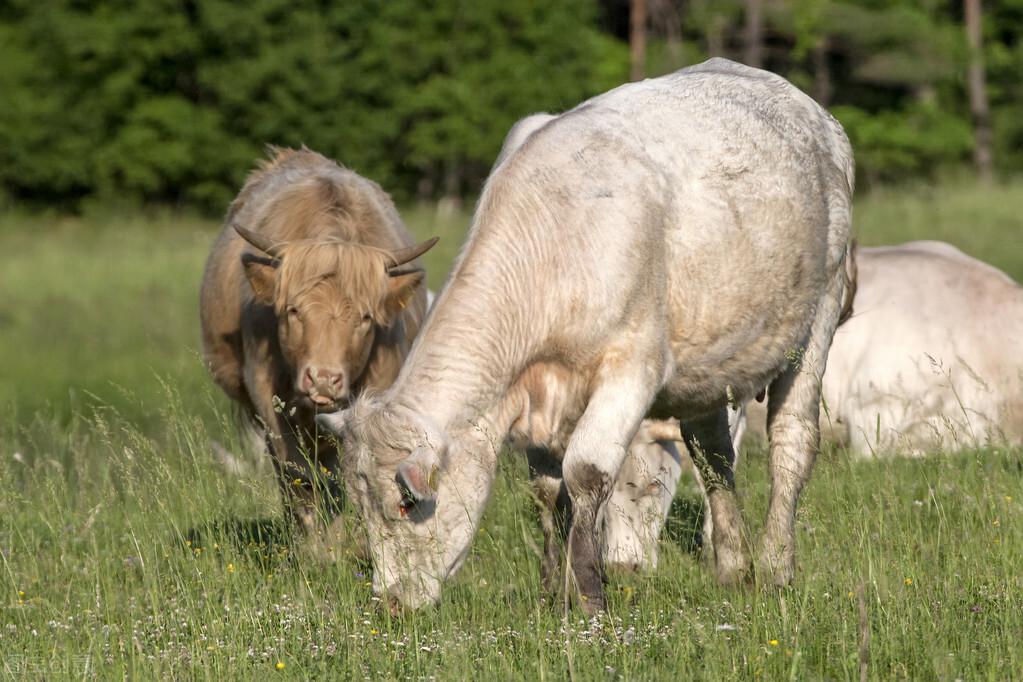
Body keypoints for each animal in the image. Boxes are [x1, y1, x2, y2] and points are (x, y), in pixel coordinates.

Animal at [200, 149, 435, 539]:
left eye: (365, 318)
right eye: (293, 311)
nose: (323, 379)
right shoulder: (266, 396)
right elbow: (297, 476)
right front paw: (313, 542)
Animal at [319, 60, 855, 613]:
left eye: (407, 504)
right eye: (361, 507)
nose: (391, 602)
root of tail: (809, 109)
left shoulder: (632, 370)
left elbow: (586, 473)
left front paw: (591, 596)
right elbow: (547, 489)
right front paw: (553, 590)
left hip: (819, 315)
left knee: (792, 441)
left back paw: (775, 567)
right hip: (709, 361)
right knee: (712, 456)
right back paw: (733, 567)